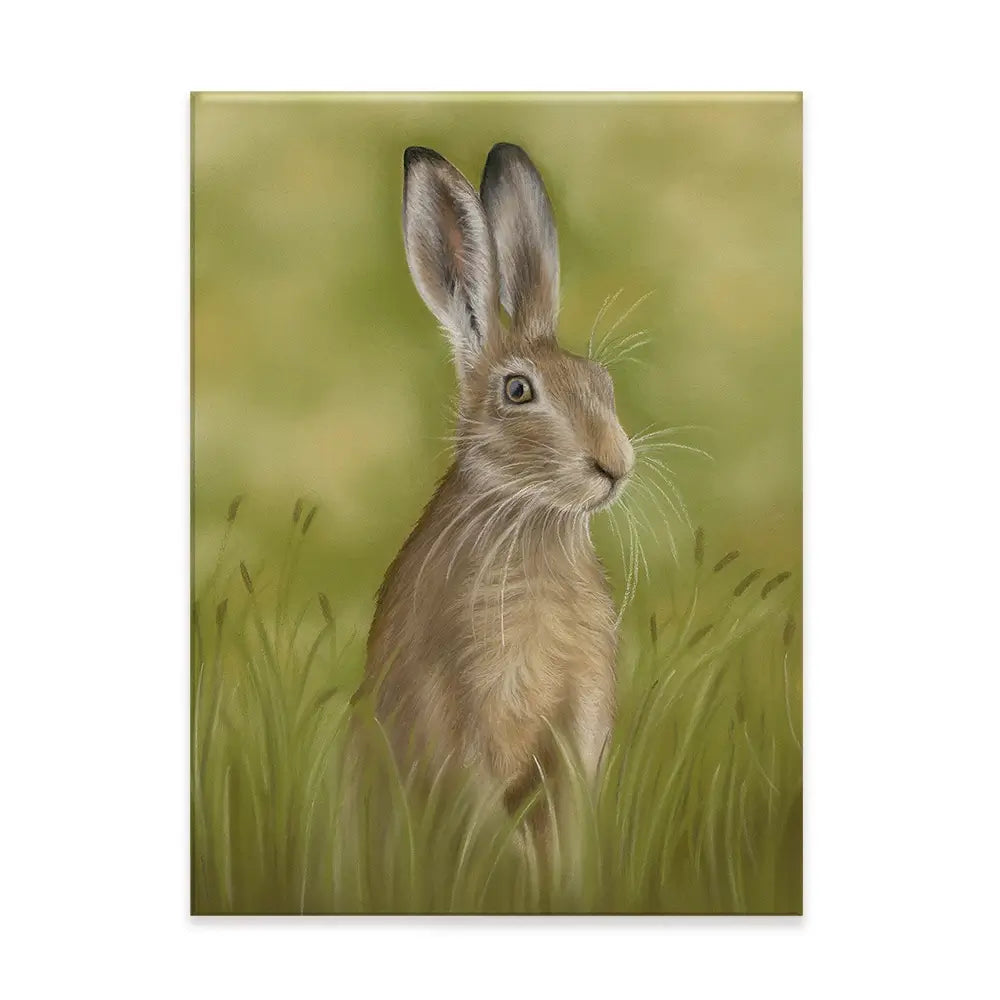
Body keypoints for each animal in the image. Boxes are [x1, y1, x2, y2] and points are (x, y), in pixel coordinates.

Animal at [361, 142, 635, 839]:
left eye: (601, 382)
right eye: (517, 391)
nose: (615, 464)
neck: (533, 520)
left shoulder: (579, 725)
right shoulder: (460, 718)